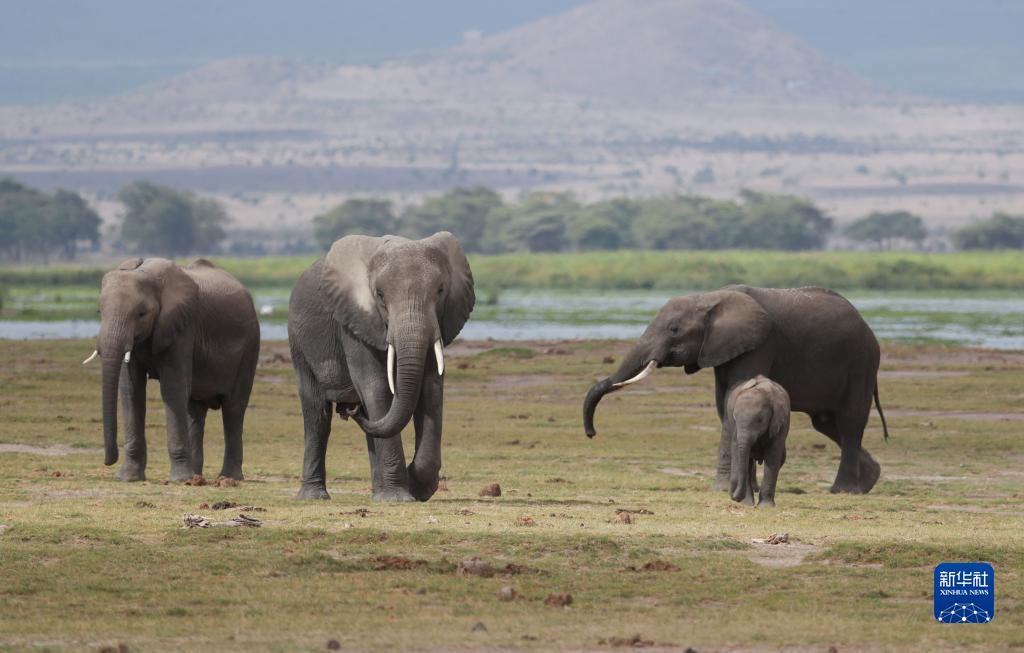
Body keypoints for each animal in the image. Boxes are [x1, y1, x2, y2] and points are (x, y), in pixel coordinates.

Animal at [84, 257, 260, 483]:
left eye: (141, 314)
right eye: (99, 312)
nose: (109, 461)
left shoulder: (182, 327)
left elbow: (173, 388)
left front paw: (179, 480)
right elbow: (131, 390)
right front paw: (128, 478)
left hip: (250, 346)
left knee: (233, 408)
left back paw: (227, 478)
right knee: (195, 409)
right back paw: (196, 477)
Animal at [286, 233, 473, 503]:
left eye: (440, 291)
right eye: (380, 295)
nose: (350, 408)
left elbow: (431, 388)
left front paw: (416, 488)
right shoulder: (353, 322)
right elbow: (376, 386)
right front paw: (398, 498)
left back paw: (377, 493)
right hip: (299, 344)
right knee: (317, 416)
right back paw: (314, 496)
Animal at [585, 286, 888, 495]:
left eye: (674, 329)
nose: (591, 433)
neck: (708, 298)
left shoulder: (761, 343)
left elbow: (734, 395)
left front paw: (722, 489)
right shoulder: (722, 348)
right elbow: (724, 404)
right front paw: (744, 487)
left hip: (861, 362)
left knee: (850, 422)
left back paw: (842, 491)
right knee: (826, 423)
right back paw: (869, 481)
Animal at [720, 376, 790, 509]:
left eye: (759, 420)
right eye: (735, 418)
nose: (734, 497)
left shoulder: (780, 424)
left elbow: (772, 457)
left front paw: (766, 507)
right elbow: (744, 458)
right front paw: (746, 504)